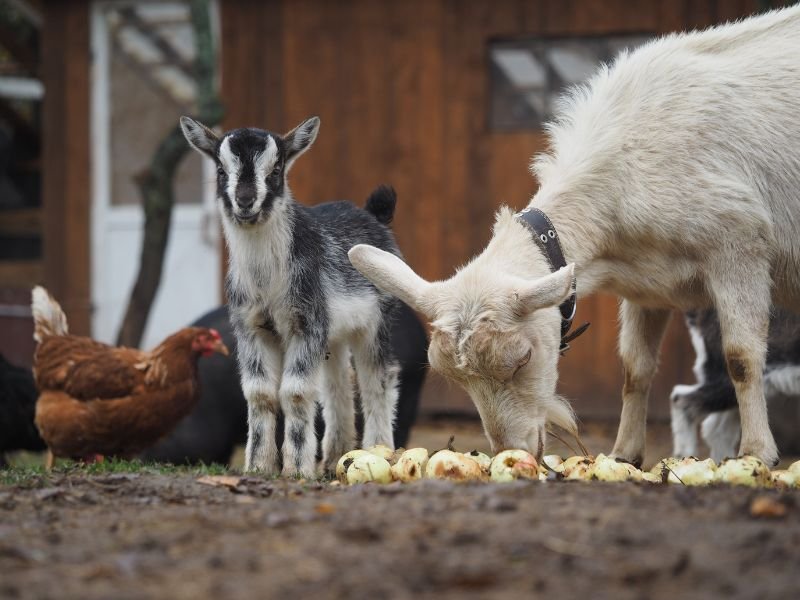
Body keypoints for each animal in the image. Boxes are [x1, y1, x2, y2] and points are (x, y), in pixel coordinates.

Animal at [180, 116, 401, 477]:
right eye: (221, 170)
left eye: (275, 169)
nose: (245, 201)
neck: (267, 280)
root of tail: (373, 215)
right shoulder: (251, 328)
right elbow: (260, 394)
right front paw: (258, 466)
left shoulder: (306, 324)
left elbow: (295, 392)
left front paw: (297, 469)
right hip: (334, 335)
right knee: (338, 384)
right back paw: (334, 458)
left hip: (376, 322)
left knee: (376, 380)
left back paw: (378, 449)